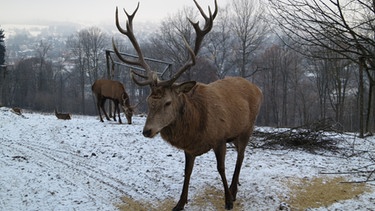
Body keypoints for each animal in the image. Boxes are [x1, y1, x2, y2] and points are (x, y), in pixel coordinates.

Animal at [113, 0, 262, 210]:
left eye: (168, 102)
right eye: (148, 101)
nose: (147, 131)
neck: (197, 127)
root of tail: (258, 88)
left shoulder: (219, 137)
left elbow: (221, 168)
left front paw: (227, 201)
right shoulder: (190, 148)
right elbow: (187, 171)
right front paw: (180, 202)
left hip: (248, 127)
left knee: (241, 157)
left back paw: (233, 191)